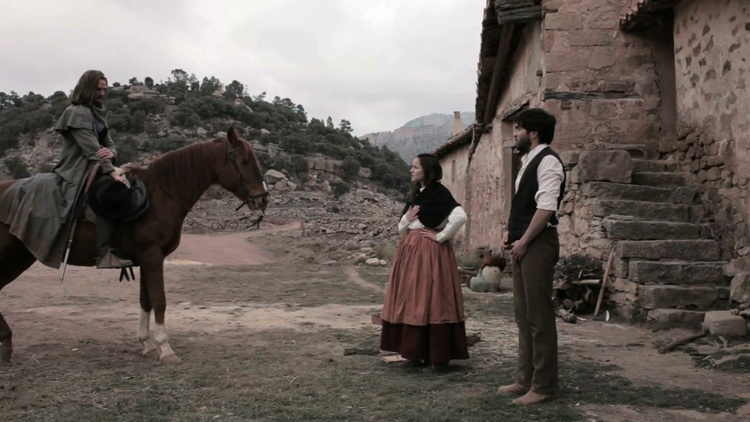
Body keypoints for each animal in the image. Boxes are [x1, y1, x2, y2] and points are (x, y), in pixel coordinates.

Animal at [0, 127, 269, 365]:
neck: (160, 196)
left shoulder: (145, 259)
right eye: (245, 161)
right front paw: (165, 348)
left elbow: (145, 300)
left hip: (18, 257)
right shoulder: (152, 257)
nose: (262, 199)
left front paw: (147, 345)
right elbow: (159, 300)